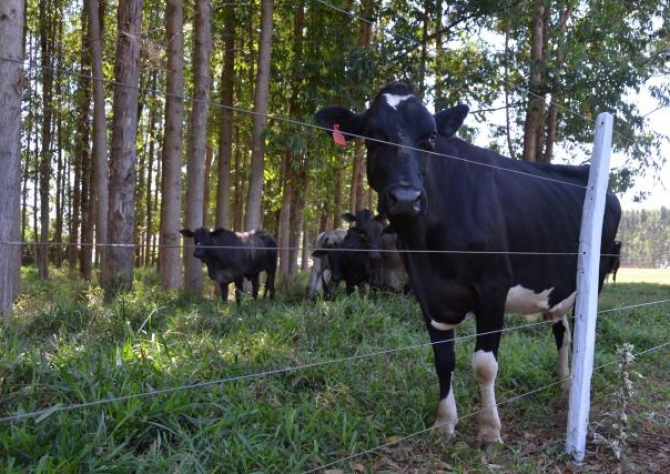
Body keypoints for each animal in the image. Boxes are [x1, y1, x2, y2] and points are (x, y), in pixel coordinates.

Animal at [318, 81, 624, 444]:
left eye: (430, 137)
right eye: (372, 135)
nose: (406, 198)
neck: (430, 249)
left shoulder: (492, 287)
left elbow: (484, 364)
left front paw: (490, 429)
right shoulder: (426, 292)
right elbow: (442, 360)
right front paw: (444, 422)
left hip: (595, 276)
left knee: (581, 330)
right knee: (561, 330)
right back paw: (563, 385)